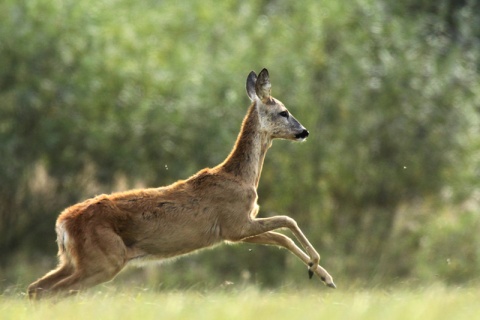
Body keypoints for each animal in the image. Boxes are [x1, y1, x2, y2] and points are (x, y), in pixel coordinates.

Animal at [26, 68, 334, 300]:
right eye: (284, 112)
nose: (304, 132)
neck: (241, 177)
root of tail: (63, 224)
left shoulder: (233, 231)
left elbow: (282, 237)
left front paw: (321, 274)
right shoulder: (235, 223)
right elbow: (288, 221)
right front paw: (319, 270)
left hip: (73, 260)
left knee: (35, 288)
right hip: (103, 260)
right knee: (50, 292)